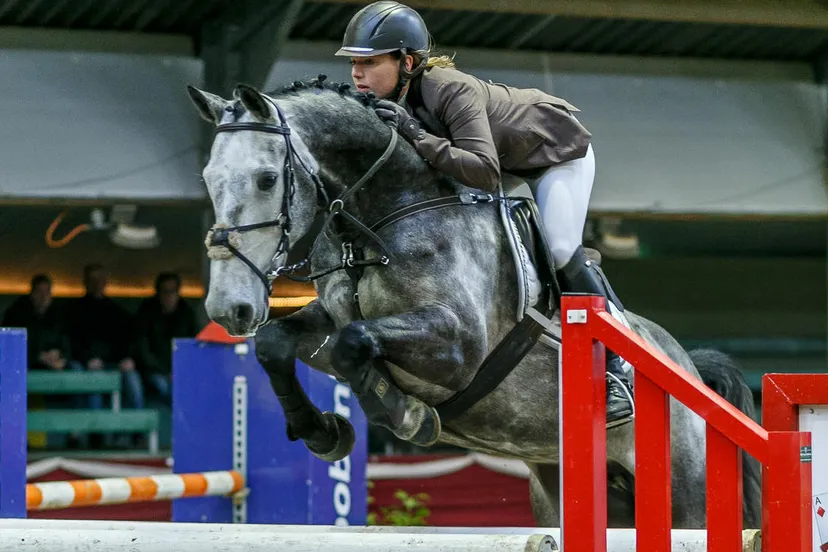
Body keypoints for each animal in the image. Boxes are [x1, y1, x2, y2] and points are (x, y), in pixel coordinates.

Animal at [186, 75, 761, 529]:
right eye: (209, 179)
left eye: (266, 179)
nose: (229, 309)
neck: (384, 212)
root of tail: (689, 366)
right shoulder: (328, 317)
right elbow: (275, 343)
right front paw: (323, 432)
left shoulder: (457, 344)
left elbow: (357, 342)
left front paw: (406, 415)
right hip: (566, 489)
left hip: (685, 496)